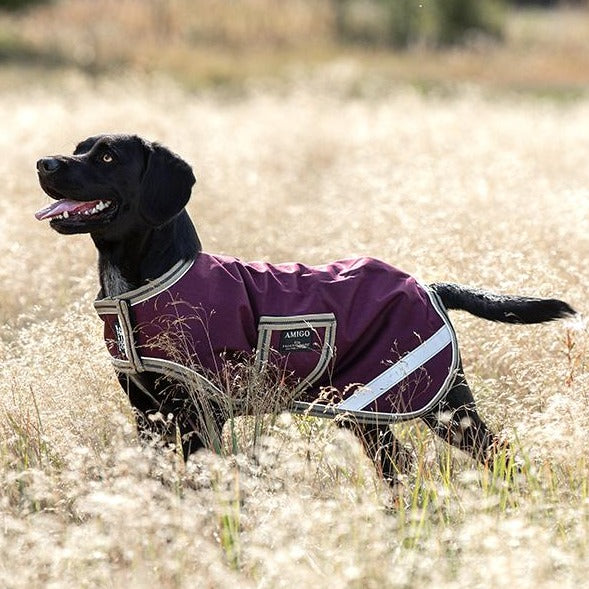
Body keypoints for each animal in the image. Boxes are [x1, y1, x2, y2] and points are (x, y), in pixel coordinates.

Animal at [33, 136, 576, 480]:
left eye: (106, 156)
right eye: (79, 147)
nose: (43, 163)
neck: (141, 282)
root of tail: (430, 287)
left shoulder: (200, 414)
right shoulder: (150, 416)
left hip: (443, 408)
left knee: (499, 455)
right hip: (366, 410)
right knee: (398, 468)